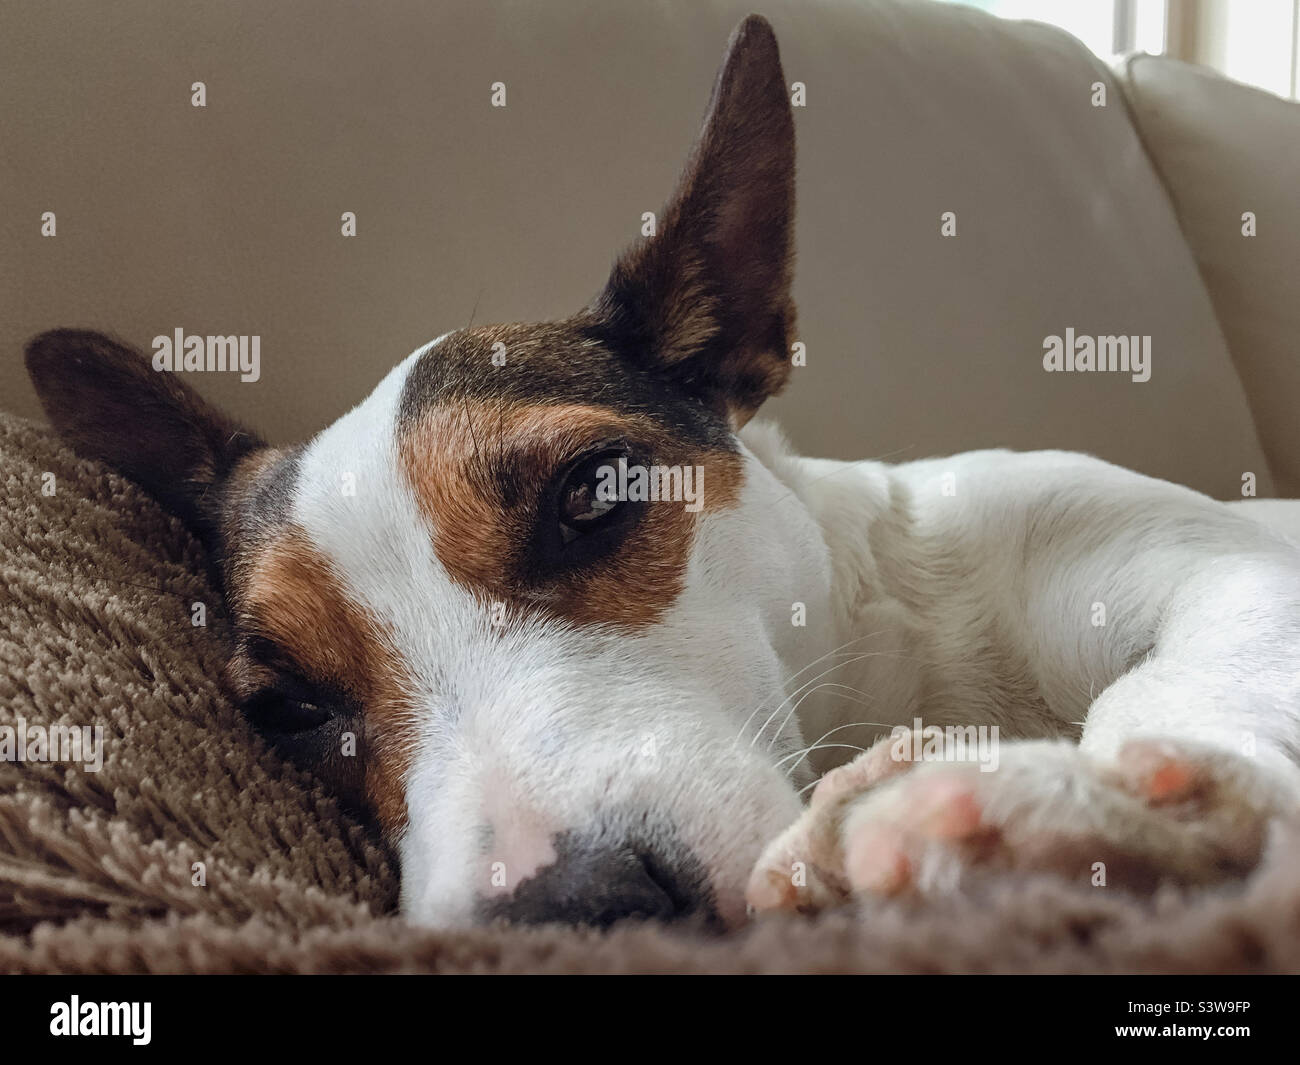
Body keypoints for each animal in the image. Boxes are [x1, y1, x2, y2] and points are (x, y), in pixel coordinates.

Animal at [22, 18, 1300, 931]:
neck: (892, 665)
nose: (574, 909)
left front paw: (1096, 811)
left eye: (592, 494)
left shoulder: (1213, 569)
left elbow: (1177, 686)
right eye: (290, 709)